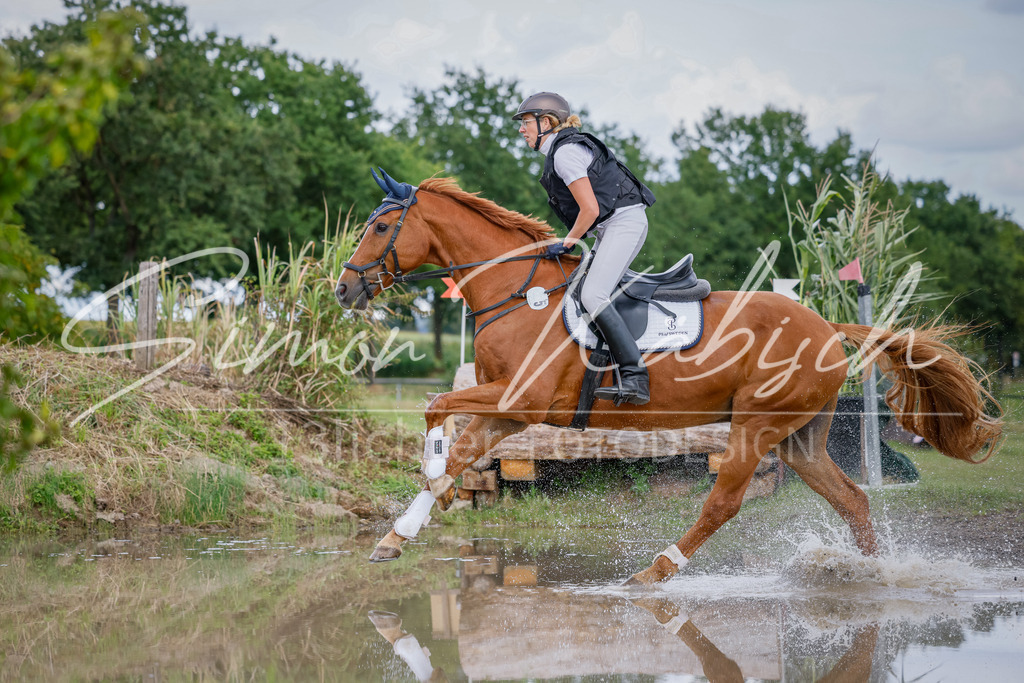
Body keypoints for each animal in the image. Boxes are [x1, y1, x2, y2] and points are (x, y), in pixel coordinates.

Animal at [334, 171, 1003, 586]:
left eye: (379, 227)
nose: (343, 289)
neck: (516, 293)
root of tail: (824, 325)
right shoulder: (510, 410)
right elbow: (459, 440)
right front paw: (403, 530)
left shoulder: (522, 398)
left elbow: (435, 408)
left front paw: (437, 481)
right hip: (799, 437)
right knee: (852, 499)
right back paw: (872, 575)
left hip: (754, 429)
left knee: (723, 503)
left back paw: (654, 571)